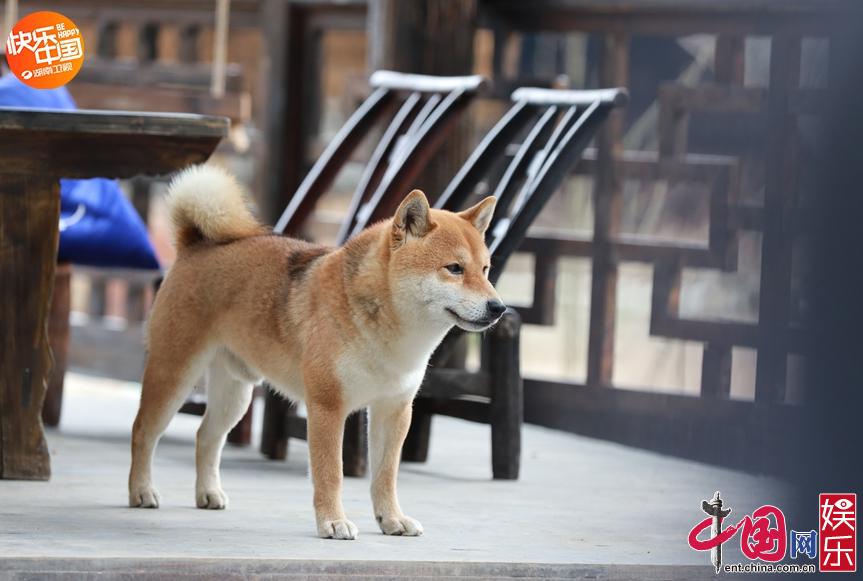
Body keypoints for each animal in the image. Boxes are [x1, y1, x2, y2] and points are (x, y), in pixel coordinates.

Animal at [127, 165, 506, 540]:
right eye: (454, 269)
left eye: (485, 270)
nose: (499, 307)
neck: (390, 330)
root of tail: (196, 244)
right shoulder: (327, 406)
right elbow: (331, 473)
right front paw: (333, 522)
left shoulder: (394, 410)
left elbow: (386, 475)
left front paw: (392, 519)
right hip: (174, 377)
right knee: (143, 432)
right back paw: (141, 491)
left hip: (235, 396)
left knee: (205, 436)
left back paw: (207, 493)